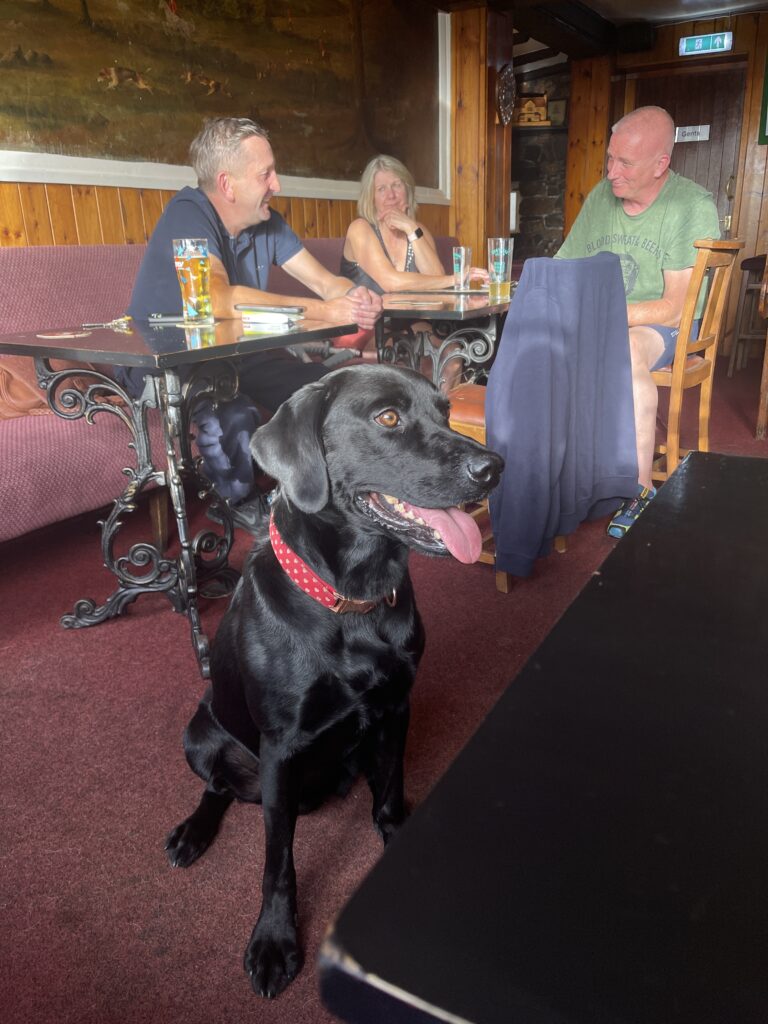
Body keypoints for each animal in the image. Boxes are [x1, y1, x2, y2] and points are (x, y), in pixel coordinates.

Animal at [165, 364, 505, 995]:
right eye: (388, 417)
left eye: (446, 412)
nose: (494, 466)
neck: (352, 601)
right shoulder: (280, 747)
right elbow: (278, 861)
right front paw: (274, 940)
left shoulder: (397, 707)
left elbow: (391, 787)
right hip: (199, 733)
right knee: (217, 786)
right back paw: (192, 833)